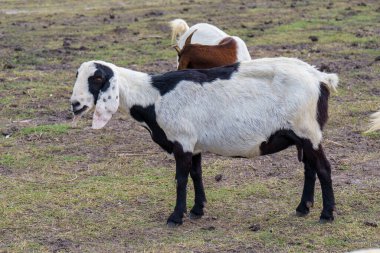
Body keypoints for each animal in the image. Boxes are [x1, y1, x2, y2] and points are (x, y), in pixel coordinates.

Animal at [70, 58, 338, 226]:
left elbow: (180, 179)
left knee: (323, 168)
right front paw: (197, 210)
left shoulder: (182, 141)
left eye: (96, 78)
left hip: (307, 131)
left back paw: (326, 214)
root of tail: (319, 77)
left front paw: (175, 217)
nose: (75, 105)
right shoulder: (194, 143)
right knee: (310, 169)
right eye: (78, 76)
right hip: (304, 134)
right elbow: (196, 174)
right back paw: (303, 207)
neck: (153, 96)